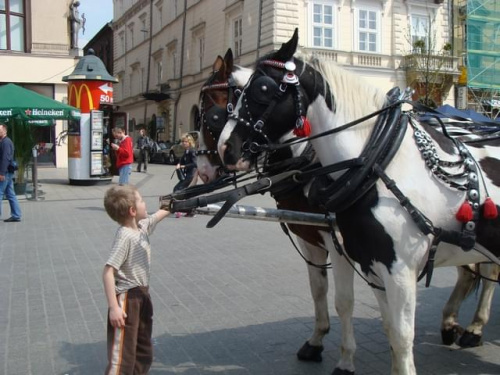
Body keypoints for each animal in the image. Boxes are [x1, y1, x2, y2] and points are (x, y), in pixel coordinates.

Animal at [218, 30, 500, 374]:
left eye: (262, 88)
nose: (225, 149)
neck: (378, 163)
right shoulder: (368, 262)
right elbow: (385, 327)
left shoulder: (395, 270)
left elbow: (396, 333)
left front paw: (343, 357)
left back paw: (472, 329)